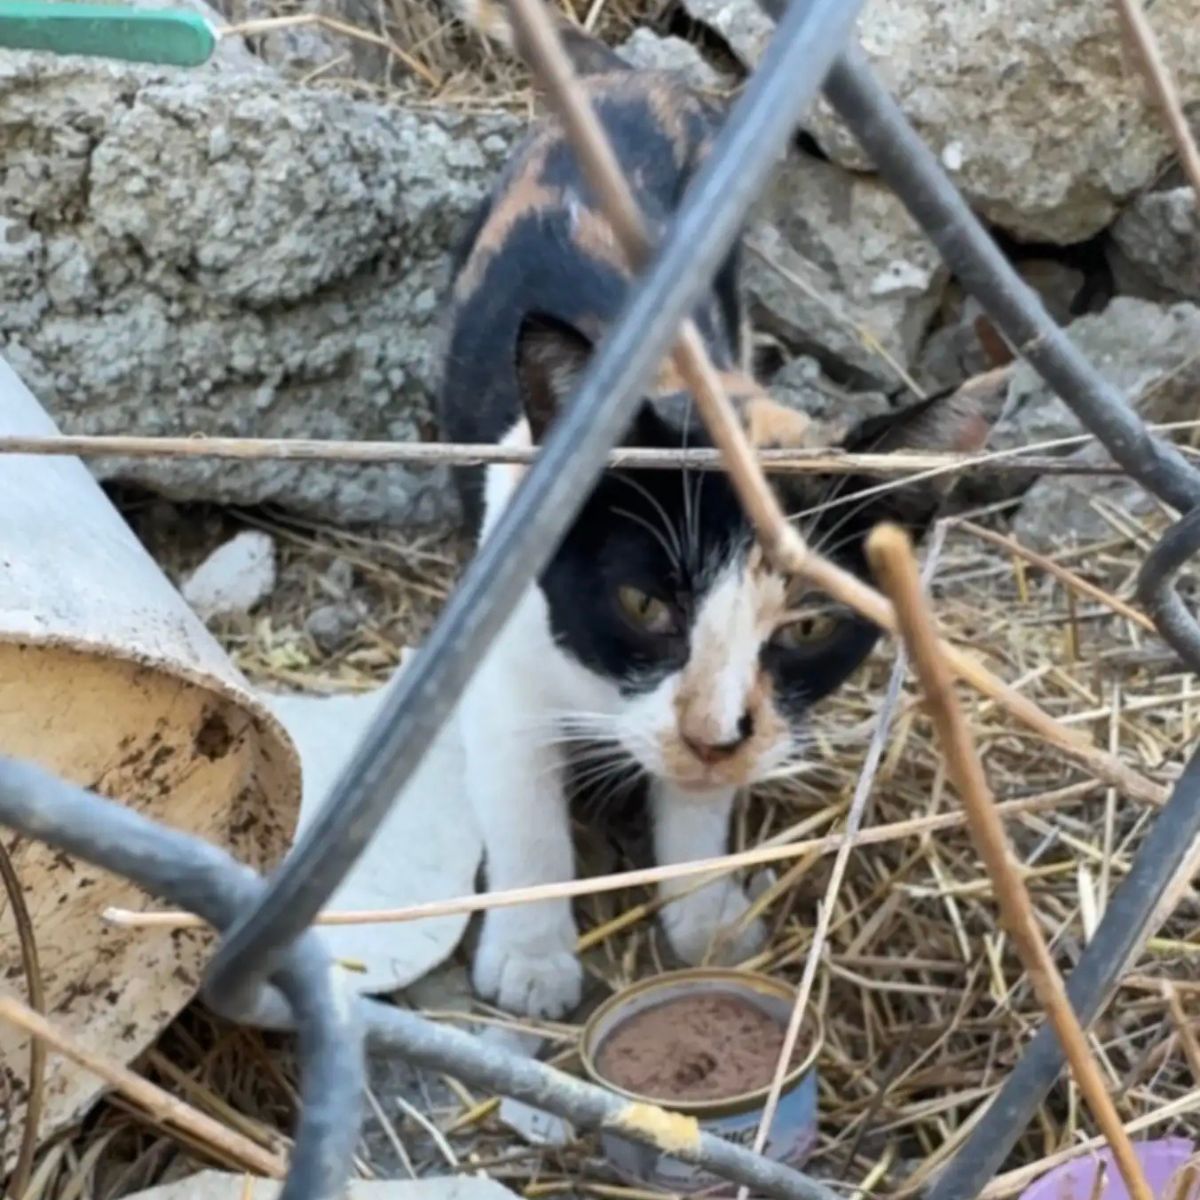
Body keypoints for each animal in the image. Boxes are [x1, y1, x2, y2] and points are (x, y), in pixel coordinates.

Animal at [436, 0, 988, 1022]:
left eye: (808, 625)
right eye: (643, 603)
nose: (711, 732)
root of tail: (635, 79)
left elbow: (697, 799)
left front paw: (703, 912)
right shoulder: (499, 659)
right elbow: (521, 799)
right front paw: (533, 955)